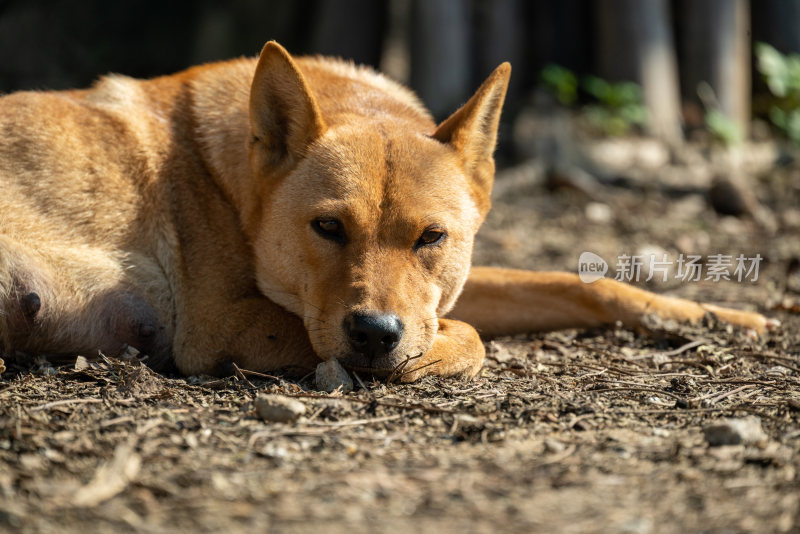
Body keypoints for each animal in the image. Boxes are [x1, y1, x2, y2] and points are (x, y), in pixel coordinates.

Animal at [0, 42, 776, 384]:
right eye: (327, 227)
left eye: (432, 237)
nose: (375, 334)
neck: (232, 181)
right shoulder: (222, 328)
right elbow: (470, 336)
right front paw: (429, 357)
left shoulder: (442, 288)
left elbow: (584, 284)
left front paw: (719, 317)